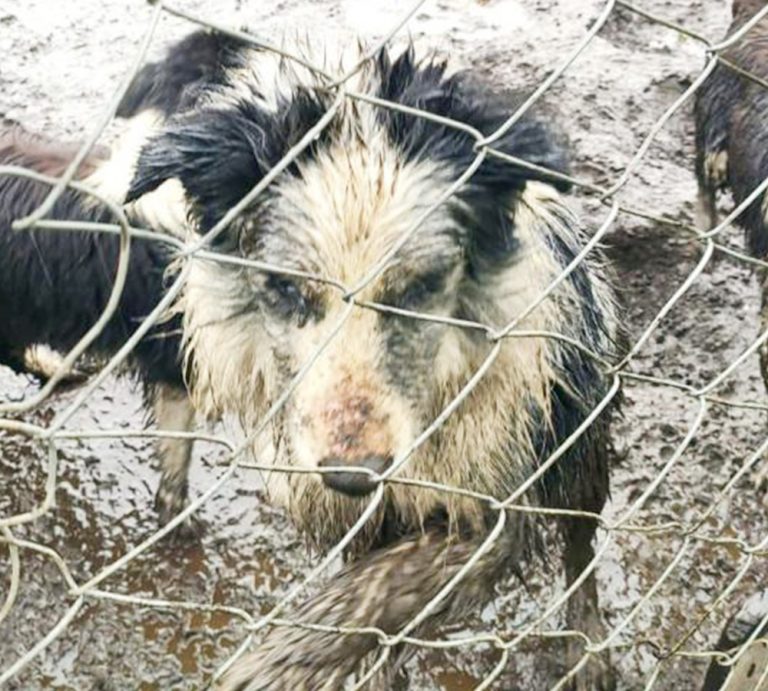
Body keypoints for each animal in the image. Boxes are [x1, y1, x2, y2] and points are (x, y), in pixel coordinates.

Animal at [123, 29, 624, 688]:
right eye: (285, 290)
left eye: (419, 289)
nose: (353, 474)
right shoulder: (346, 510)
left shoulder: (493, 490)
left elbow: (382, 588)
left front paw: (272, 663)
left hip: (579, 426)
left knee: (580, 541)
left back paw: (586, 644)